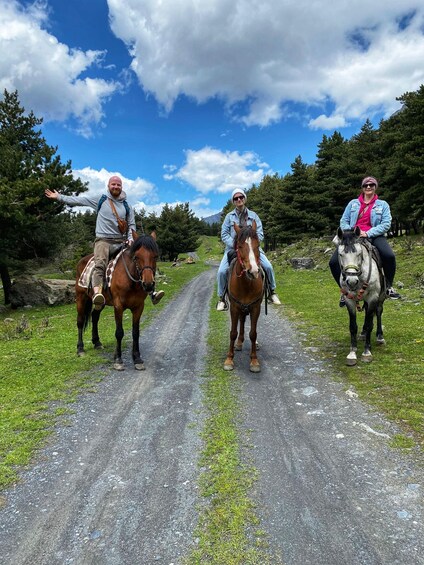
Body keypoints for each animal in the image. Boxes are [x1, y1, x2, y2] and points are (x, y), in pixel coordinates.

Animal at [74, 230, 159, 370]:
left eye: (155, 256)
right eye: (136, 257)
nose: (148, 284)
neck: (130, 279)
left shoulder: (139, 307)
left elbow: (136, 332)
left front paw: (137, 358)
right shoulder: (118, 306)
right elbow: (119, 332)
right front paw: (118, 359)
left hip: (100, 301)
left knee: (95, 316)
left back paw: (97, 342)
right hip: (81, 297)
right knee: (80, 321)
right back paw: (80, 349)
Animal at [224, 223, 264, 372]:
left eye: (258, 245)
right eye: (240, 246)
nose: (253, 271)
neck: (246, 284)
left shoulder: (255, 308)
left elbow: (253, 333)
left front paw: (254, 361)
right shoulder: (234, 308)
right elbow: (233, 332)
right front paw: (229, 359)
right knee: (241, 321)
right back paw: (239, 343)